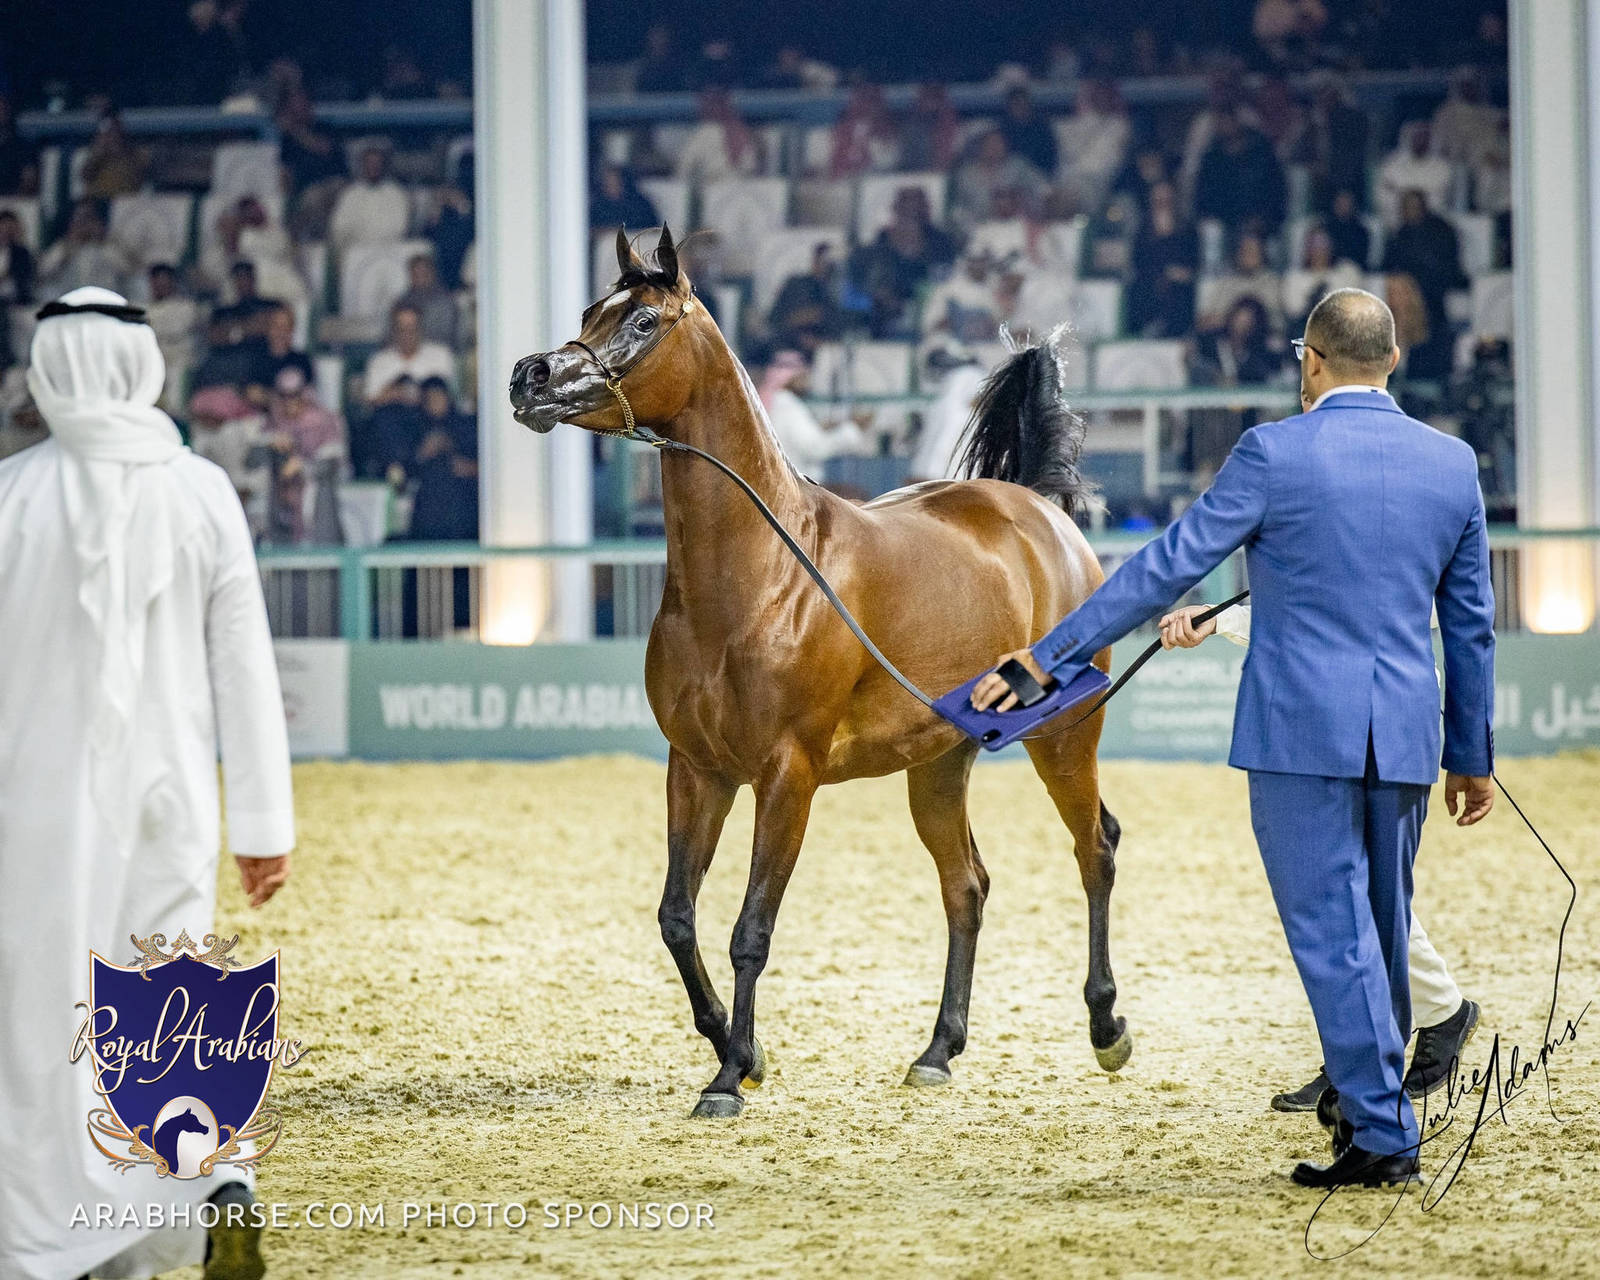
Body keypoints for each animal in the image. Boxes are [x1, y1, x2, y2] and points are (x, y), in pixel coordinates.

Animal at [510, 225, 1127, 1118]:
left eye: (645, 322)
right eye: (591, 311)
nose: (532, 376)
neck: (763, 573)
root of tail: (1037, 510)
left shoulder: (785, 776)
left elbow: (750, 930)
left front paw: (729, 1078)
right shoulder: (697, 769)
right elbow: (677, 917)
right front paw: (739, 1050)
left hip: (1065, 736)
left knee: (1095, 849)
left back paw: (1107, 1028)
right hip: (938, 765)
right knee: (967, 885)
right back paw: (937, 1052)